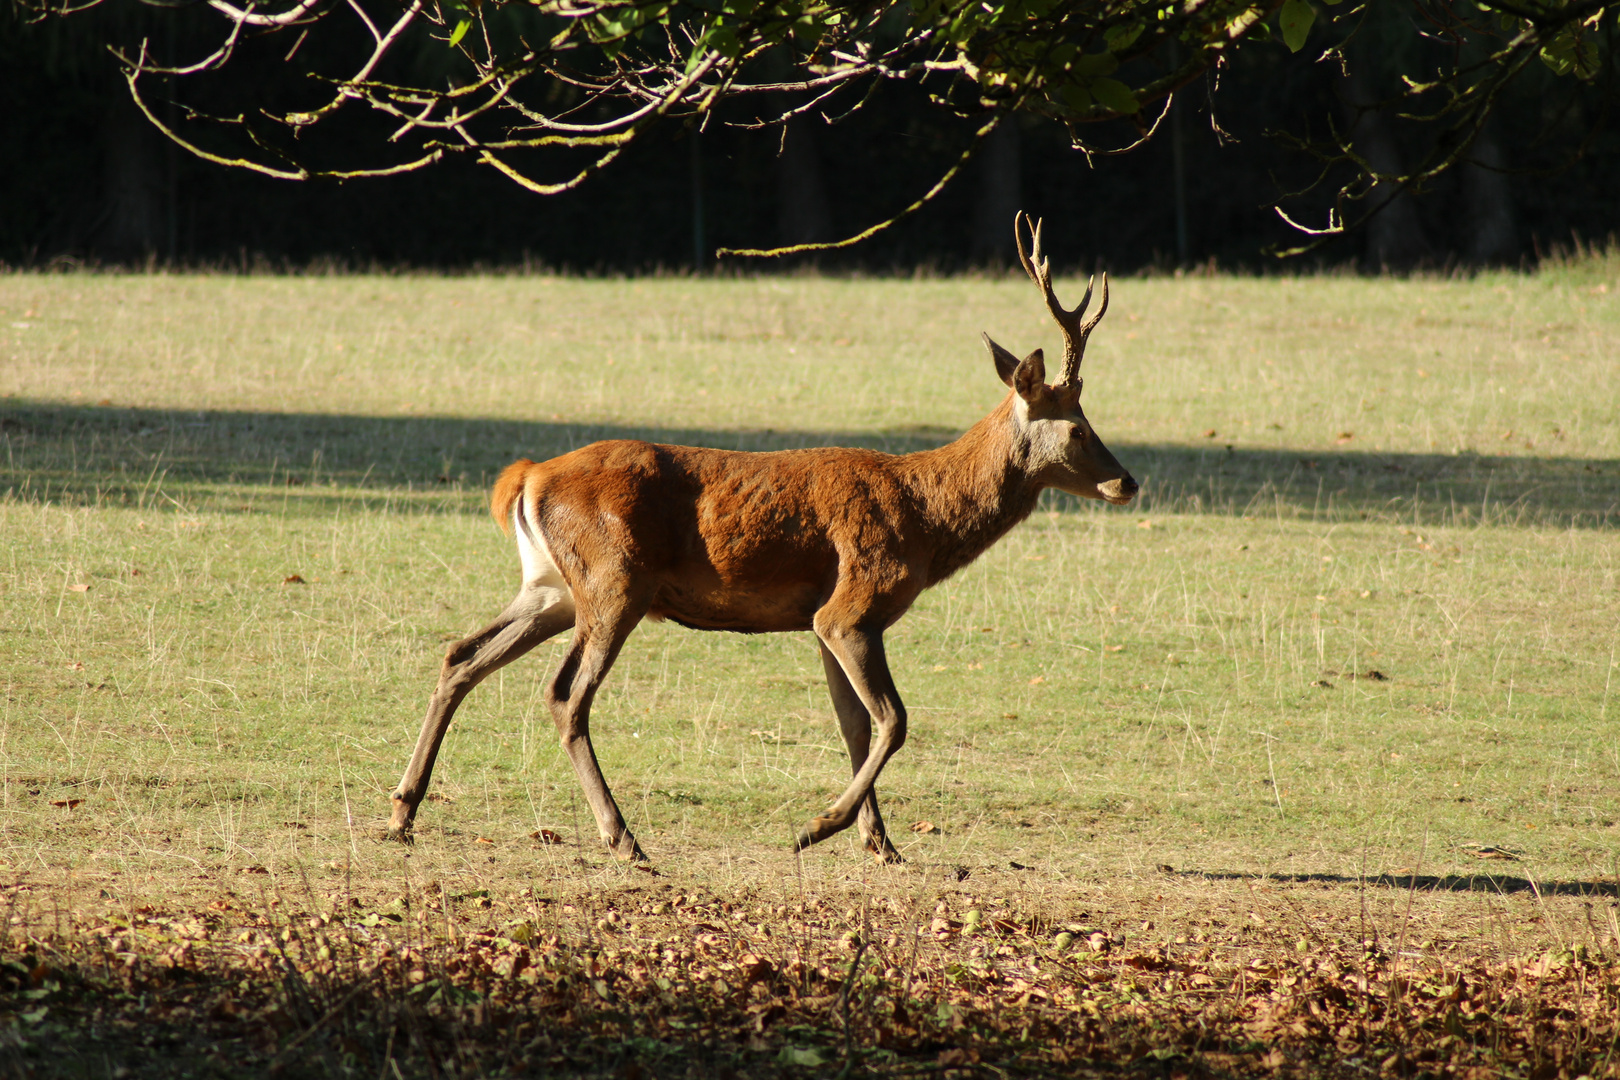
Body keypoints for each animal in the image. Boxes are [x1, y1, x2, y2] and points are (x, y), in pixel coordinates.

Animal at [383, 215, 1134, 867]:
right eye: (1077, 425)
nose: (1126, 481)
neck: (925, 516)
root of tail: (527, 477)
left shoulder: (823, 619)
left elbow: (855, 725)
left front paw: (880, 842)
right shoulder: (852, 604)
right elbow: (893, 720)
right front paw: (818, 827)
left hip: (551, 586)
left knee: (462, 654)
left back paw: (402, 811)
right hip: (614, 580)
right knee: (565, 695)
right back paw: (622, 837)